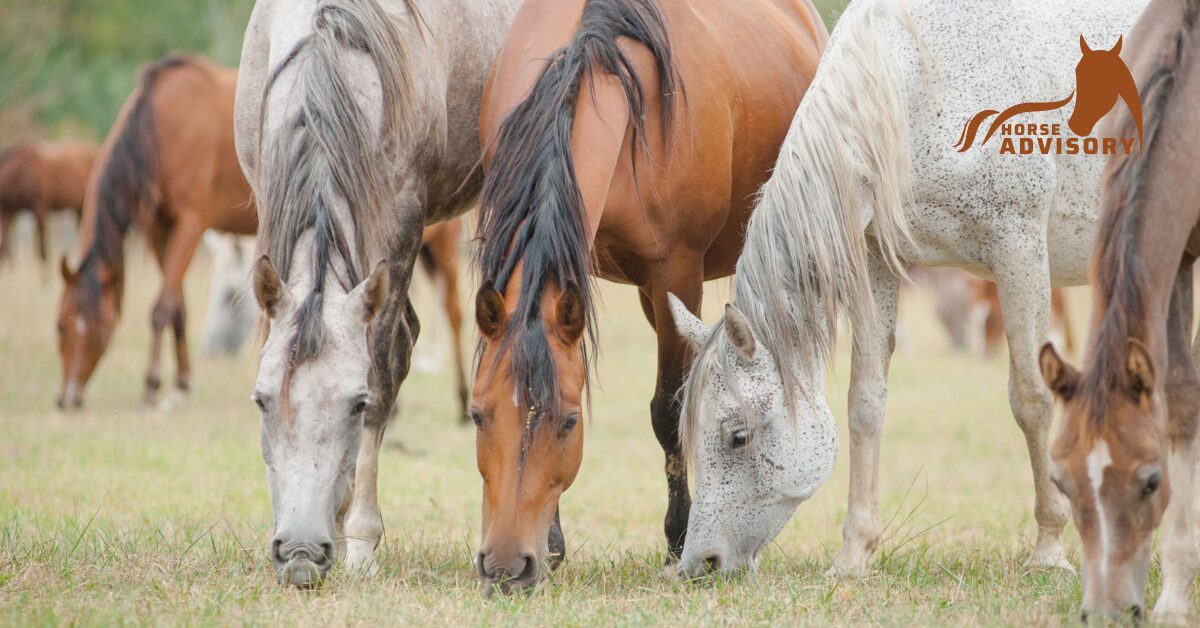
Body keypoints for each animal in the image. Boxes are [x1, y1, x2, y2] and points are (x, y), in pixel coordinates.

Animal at [55, 51, 256, 410]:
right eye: (60, 327)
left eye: (102, 329)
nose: (68, 398)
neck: (162, 123)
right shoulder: (156, 228)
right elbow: (177, 307)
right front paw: (181, 385)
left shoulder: (190, 224)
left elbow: (161, 308)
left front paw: (151, 387)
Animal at [231, 0, 518, 588]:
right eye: (261, 399)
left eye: (355, 403)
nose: (300, 552)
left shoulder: (402, 221)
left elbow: (384, 375)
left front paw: (359, 538)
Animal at [468, 0, 825, 595]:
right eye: (476, 415)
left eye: (569, 422)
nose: (505, 567)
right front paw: (555, 544)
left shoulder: (676, 275)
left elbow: (669, 411)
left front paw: (679, 538)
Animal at [667, 0, 1142, 581]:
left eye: (737, 436)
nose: (699, 563)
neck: (918, 83)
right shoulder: (876, 258)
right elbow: (866, 401)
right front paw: (853, 556)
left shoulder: (1020, 247)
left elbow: (1032, 398)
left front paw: (1049, 550)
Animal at [1036, 0, 1200, 619]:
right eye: (1061, 482)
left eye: (1151, 480)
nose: (1109, 611)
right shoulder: (1177, 257)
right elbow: (1180, 395)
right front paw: (1174, 599)